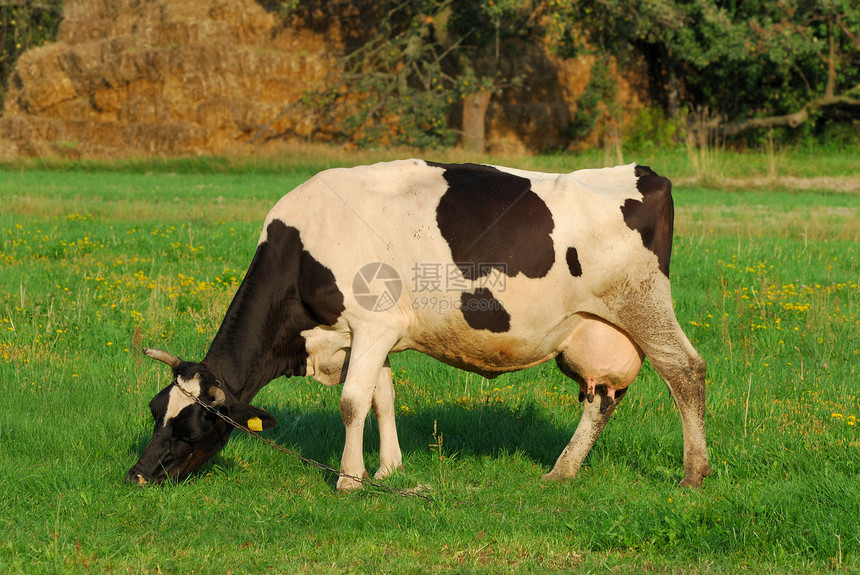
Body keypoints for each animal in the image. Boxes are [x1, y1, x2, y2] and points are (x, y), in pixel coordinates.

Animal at [127, 161, 716, 490]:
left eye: (191, 426)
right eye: (156, 411)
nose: (138, 475)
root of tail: (642, 173)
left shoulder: (370, 324)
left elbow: (352, 401)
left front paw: (350, 478)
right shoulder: (376, 334)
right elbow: (381, 396)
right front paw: (390, 470)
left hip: (643, 305)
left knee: (686, 372)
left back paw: (693, 474)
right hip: (592, 332)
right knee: (602, 398)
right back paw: (561, 472)